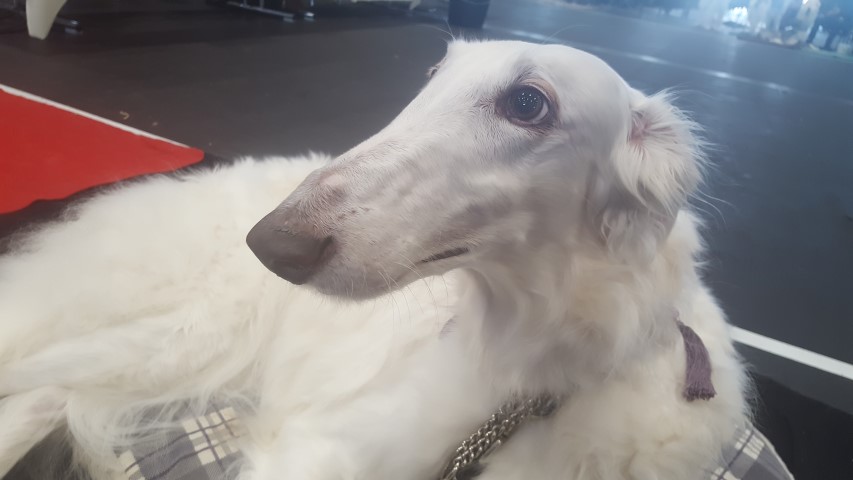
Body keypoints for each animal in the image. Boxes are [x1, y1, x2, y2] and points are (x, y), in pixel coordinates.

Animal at [0, 40, 748, 480]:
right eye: (432, 76)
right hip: (175, 337)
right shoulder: (317, 452)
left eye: (527, 102)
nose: (270, 243)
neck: (524, 378)